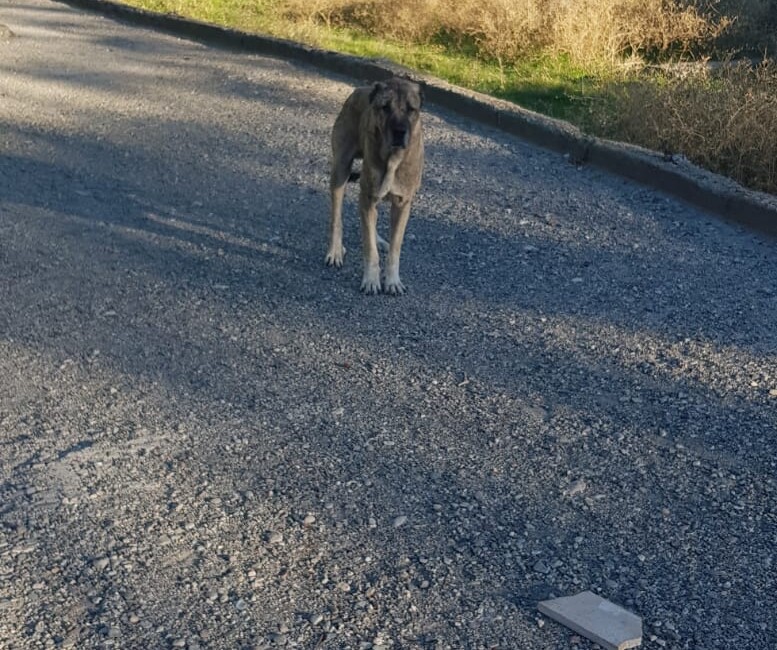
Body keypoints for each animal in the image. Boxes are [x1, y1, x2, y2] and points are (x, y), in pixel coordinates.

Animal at [326, 76, 428, 296]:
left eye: (411, 109)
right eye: (385, 107)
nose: (399, 132)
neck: (393, 157)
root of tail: (360, 90)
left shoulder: (402, 204)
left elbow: (395, 248)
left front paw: (392, 281)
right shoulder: (367, 197)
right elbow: (369, 248)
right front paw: (371, 280)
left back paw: (379, 239)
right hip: (340, 170)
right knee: (336, 217)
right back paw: (335, 250)